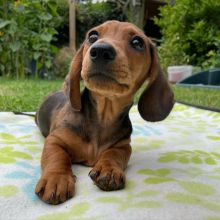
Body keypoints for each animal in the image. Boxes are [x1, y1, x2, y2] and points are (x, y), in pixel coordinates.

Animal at [35, 20, 174, 205]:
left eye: (138, 42)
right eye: (92, 36)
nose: (101, 50)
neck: (103, 115)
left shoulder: (123, 146)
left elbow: (113, 154)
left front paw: (109, 169)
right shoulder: (54, 139)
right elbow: (57, 156)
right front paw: (56, 178)